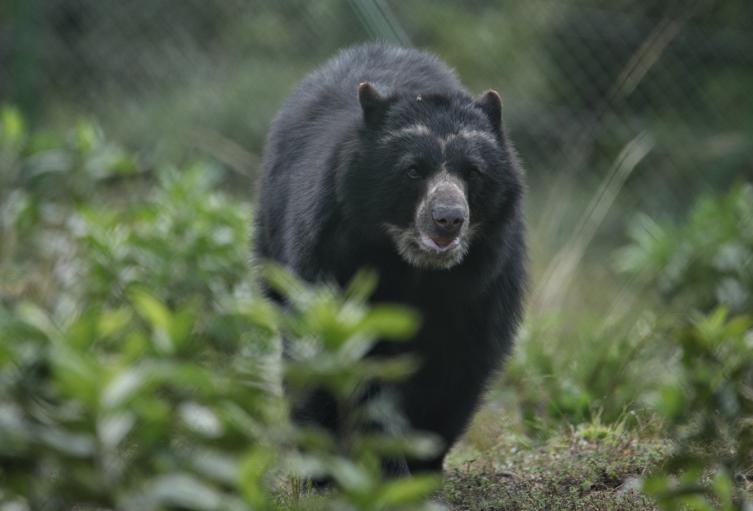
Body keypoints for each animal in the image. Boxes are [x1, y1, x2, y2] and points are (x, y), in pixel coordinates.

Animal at [254, 44, 526, 475]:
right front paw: (384, 466)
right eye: (413, 170)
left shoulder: (485, 280)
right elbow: (353, 362)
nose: (448, 218)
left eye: (473, 172)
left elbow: (458, 369)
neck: (416, 269)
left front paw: (422, 463)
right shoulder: (331, 254)